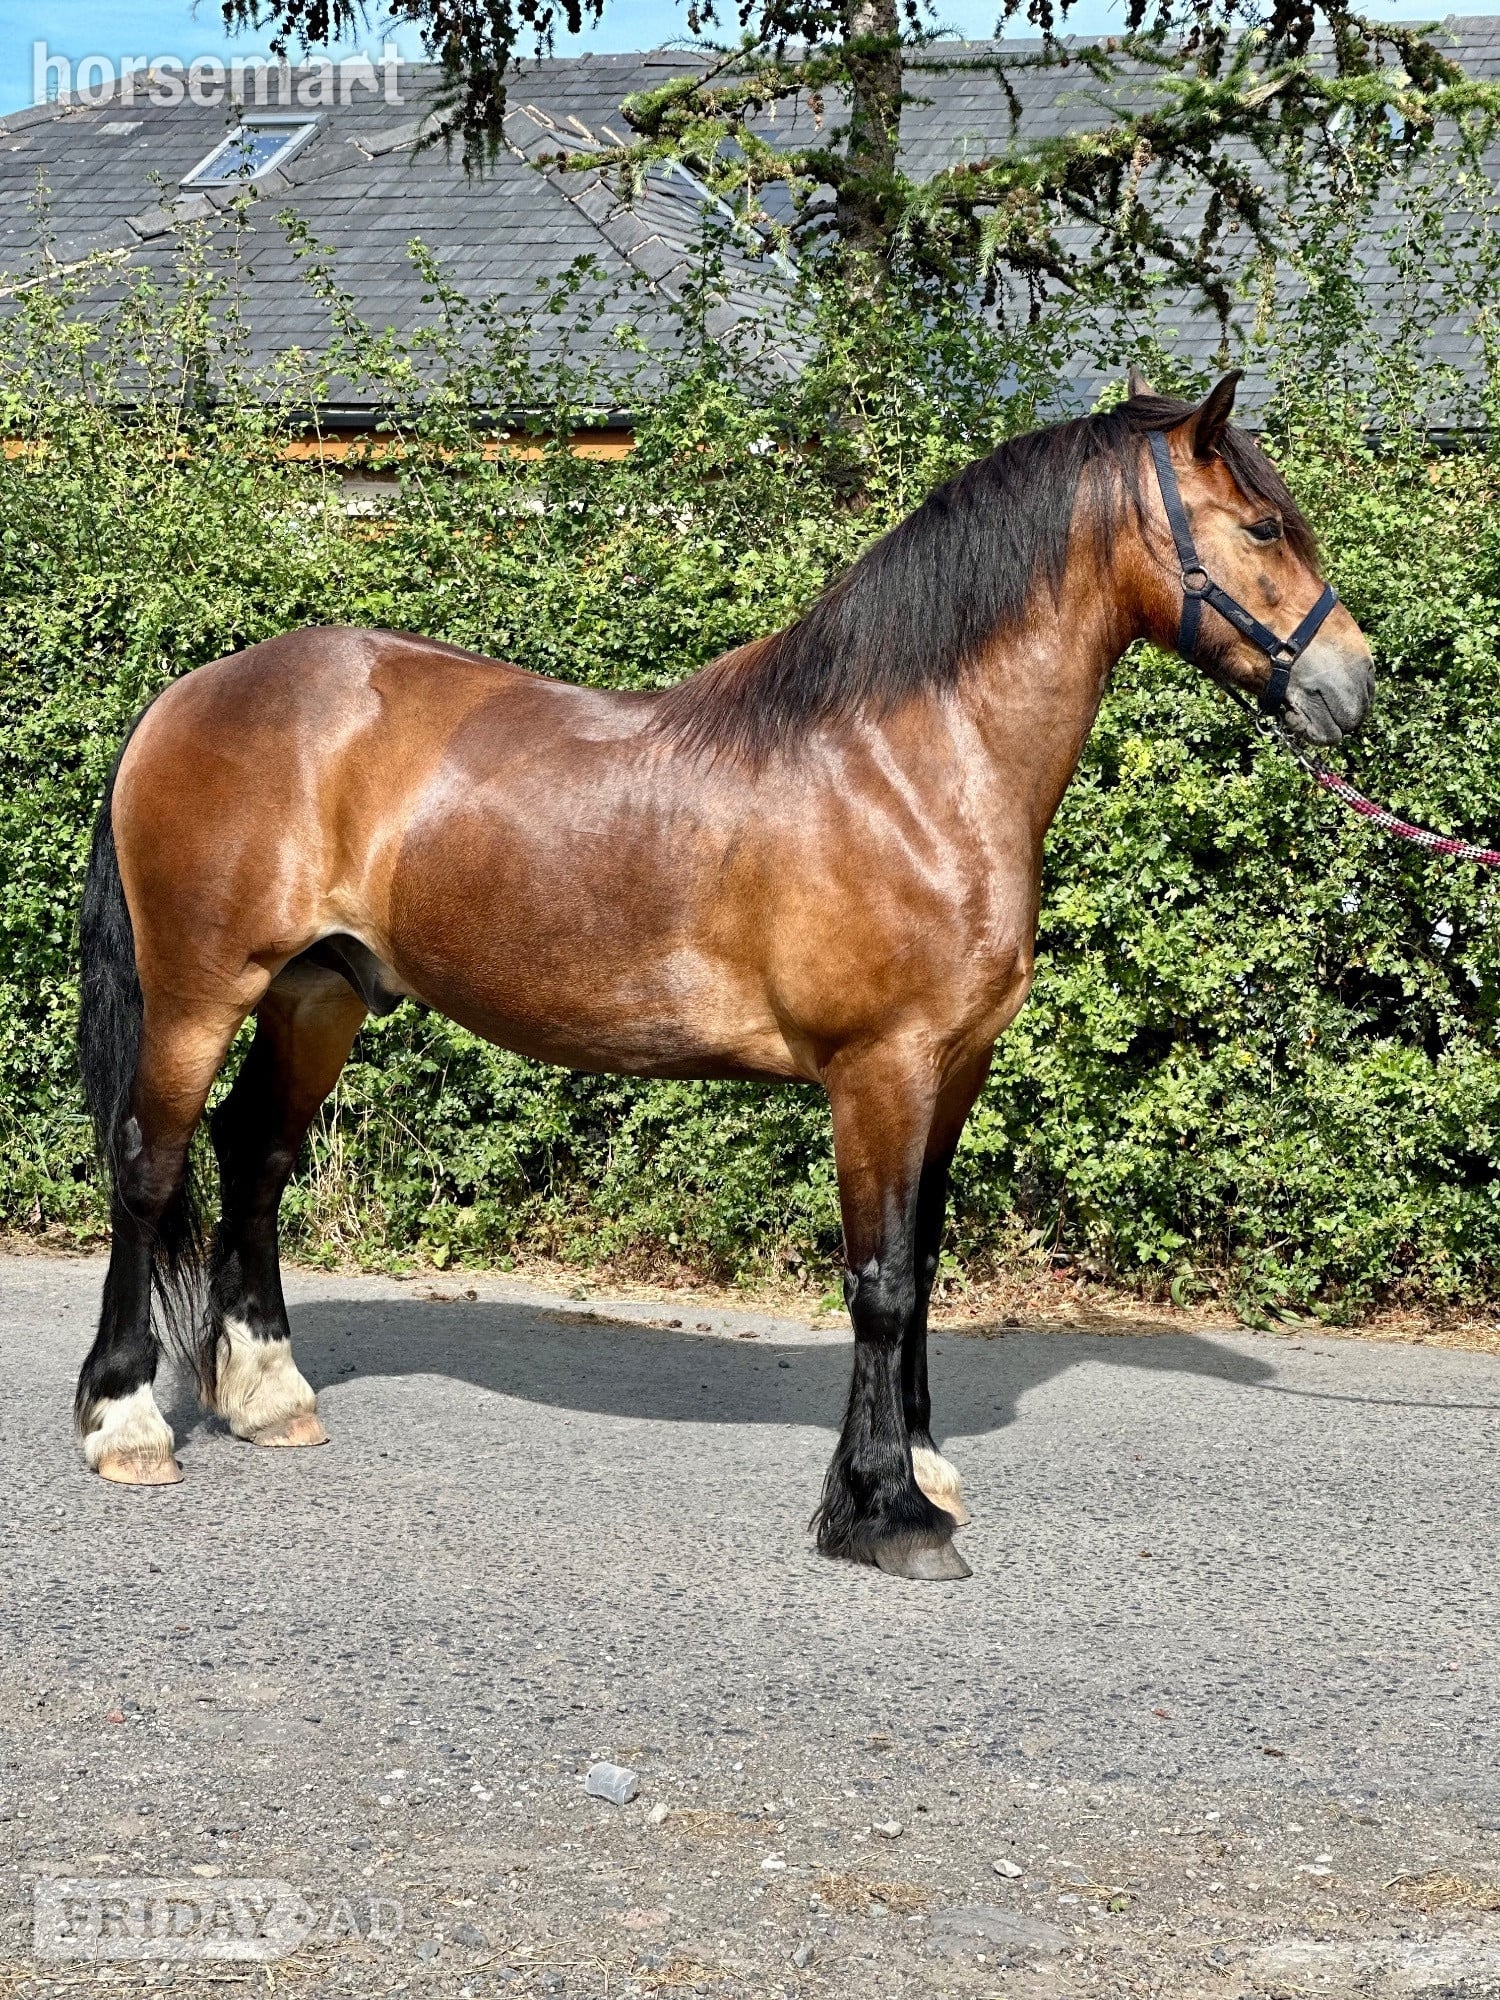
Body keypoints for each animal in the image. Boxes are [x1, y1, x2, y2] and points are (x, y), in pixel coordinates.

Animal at [72, 369, 1374, 1581]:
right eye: (1264, 527)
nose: (1352, 687)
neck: (908, 762)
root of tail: (187, 695)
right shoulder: (881, 1069)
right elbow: (881, 1279)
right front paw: (885, 1510)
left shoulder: (954, 1066)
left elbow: (924, 1262)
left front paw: (923, 1468)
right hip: (202, 992)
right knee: (149, 1164)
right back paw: (126, 1421)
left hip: (318, 993)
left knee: (255, 1155)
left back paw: (268, 1396)